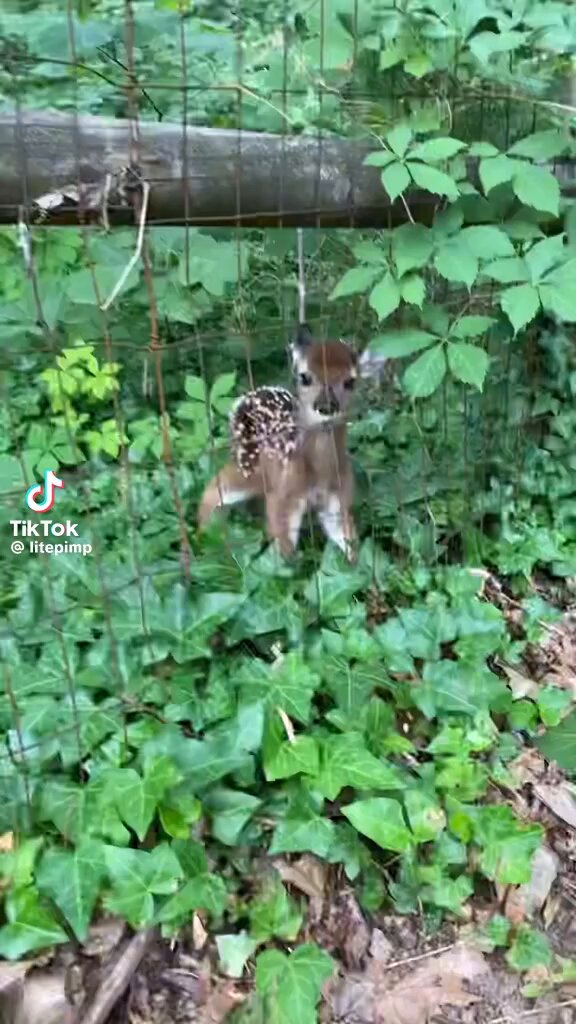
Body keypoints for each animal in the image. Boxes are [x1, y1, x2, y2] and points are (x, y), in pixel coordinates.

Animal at [197, 324, 358, 562]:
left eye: (350, 381)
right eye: (305, 377)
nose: (326, 406)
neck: (319, 473)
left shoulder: (338, 498)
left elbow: (348, 538)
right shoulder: (282, 498)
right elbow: (285, 552)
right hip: (247, 466)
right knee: (215, 488)